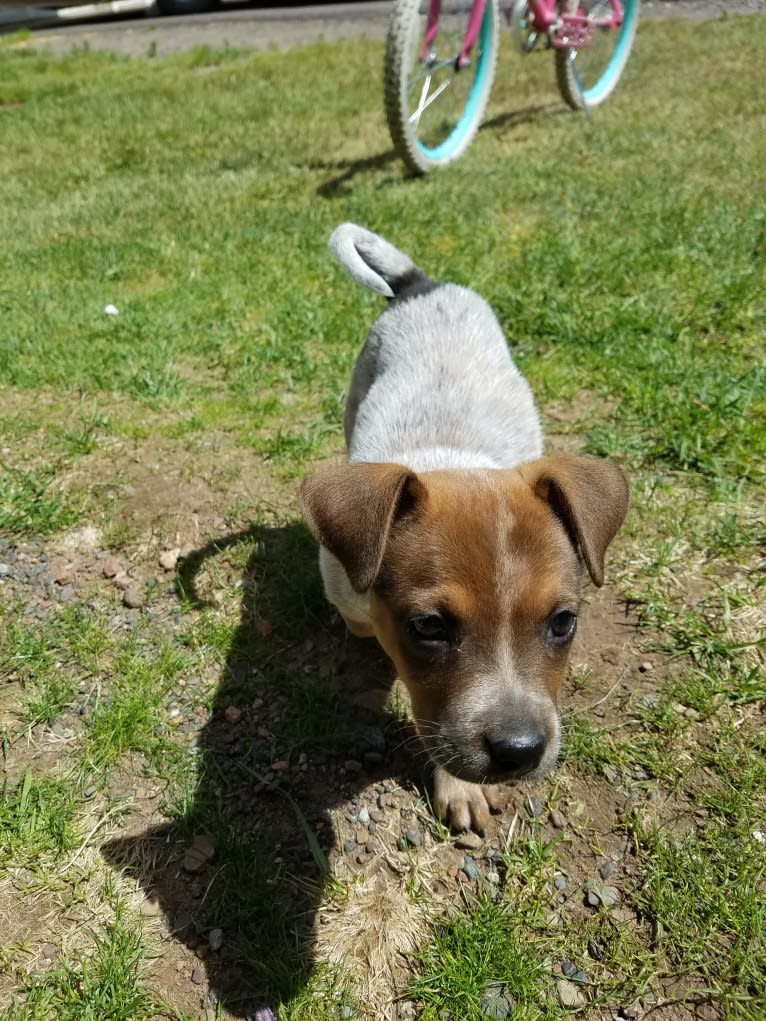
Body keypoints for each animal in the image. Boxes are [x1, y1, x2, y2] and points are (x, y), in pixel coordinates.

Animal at [300, 221, 629, 829]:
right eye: (428, 627)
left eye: (564, 622)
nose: (519, 751)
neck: (452, 459)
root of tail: (421, 283)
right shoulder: (346, 587)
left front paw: (457, 784)